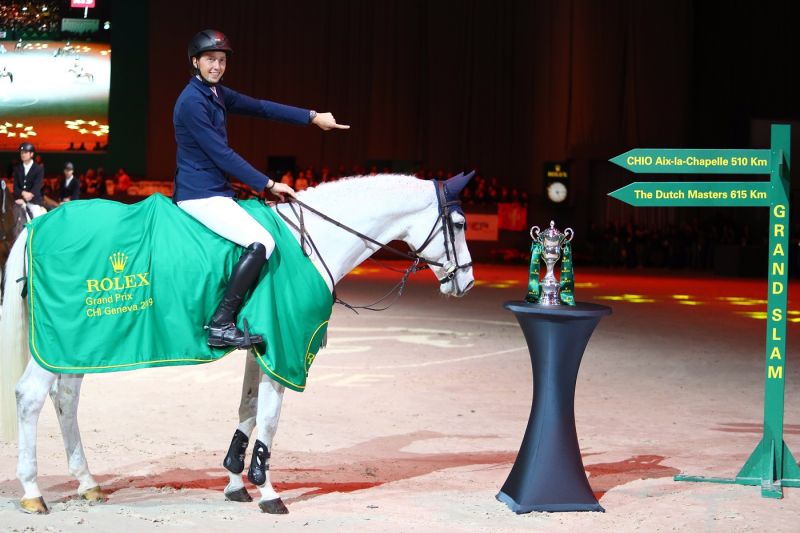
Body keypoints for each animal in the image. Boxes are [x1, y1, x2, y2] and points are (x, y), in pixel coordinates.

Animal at [0, 170, 476, 512]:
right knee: (30, 397)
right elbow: (269, 419)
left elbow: (247, 411)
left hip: (76, 342)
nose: (467, 283)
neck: (311, 242)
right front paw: (269, 493)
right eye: (458, 223)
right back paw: (33, 492)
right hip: (63, 339)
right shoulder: (286, 348)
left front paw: (234, 482)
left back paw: (87, 484)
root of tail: (38, 225)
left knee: (66, 398)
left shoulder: (264, 348)